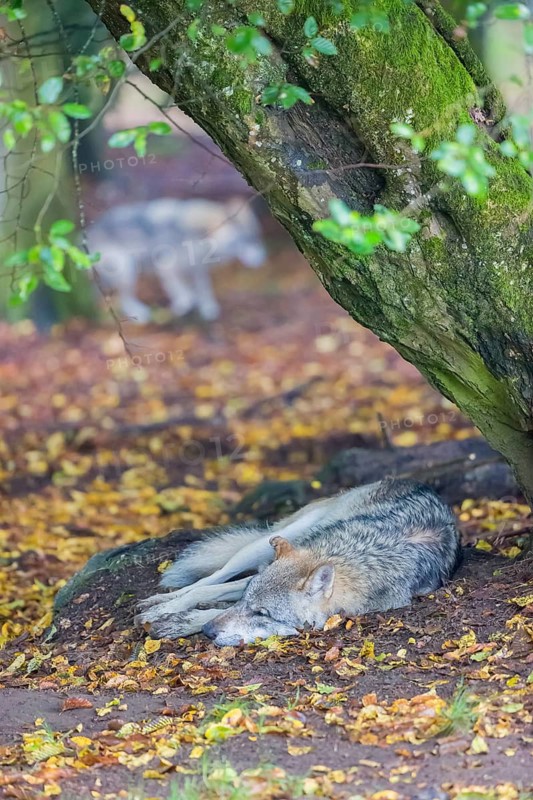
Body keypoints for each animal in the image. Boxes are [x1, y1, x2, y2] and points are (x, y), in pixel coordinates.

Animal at [88, 197, 266, 322]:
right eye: (246, 240)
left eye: (257, 238)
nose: (263, 258)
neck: (199, 234)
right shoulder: (165, 266)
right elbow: (179, 289)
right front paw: (185, 303)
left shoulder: (198, 269)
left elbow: (203, 289)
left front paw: (208, 308)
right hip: (127, 270)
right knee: (123, 298)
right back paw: (141, 313)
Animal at [135, 479, 461, 646]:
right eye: (248, 604)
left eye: (262, 613)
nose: (207, 633)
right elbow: (212, 595)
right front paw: (168, 614)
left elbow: (217, 610)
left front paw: (180, 622)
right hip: (269, 543)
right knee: (209, 580)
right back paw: (159, 601)